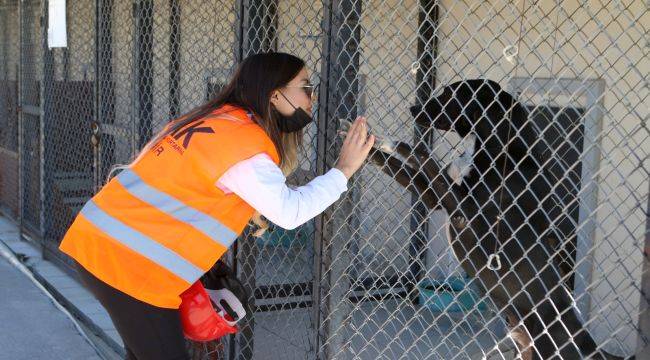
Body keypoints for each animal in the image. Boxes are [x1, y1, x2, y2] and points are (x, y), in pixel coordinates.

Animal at [346, 79, 632, 360]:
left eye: (449, 93)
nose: (413, 108)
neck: (497, 148)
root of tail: (588, 345)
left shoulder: (462, 209)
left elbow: (423, 157)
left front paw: (391, 142)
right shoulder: (434, 199)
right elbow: (402, 168)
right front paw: (366, 147)